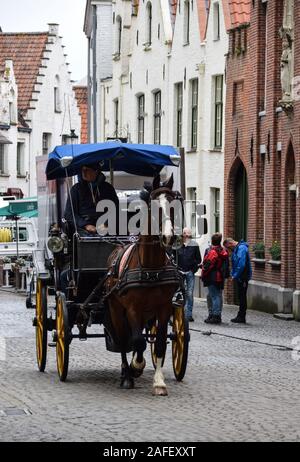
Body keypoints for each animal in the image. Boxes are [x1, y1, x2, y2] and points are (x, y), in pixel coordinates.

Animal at [105, 173, 183, 398]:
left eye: (174, 205)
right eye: (155, 205)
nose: (168, 237)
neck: (151, 267)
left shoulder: (164, 308)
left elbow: (159, 344)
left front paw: (159, 383)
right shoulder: (132, 308)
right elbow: (137, 341)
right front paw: (136, 367)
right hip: (116, 310)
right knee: (124, 340)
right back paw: (126, 375)